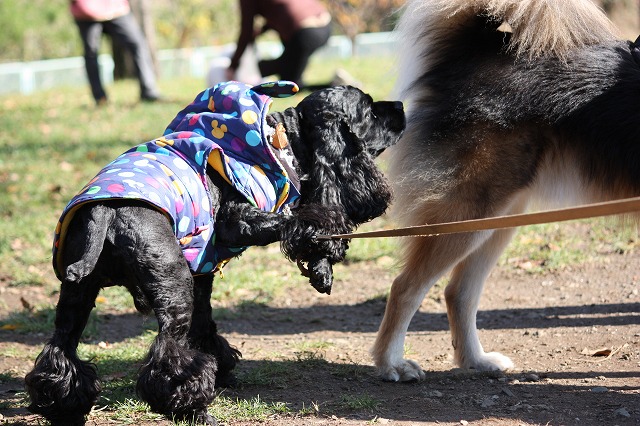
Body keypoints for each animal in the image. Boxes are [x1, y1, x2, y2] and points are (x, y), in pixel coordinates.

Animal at [26, 80, 404, 426]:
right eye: (370, 111)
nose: (400, 105)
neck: (283, 143)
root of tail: (105, 211)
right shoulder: (236, 222)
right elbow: (298, 220)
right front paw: (326, 249)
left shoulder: (202, 270)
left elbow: (205, 320)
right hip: (171, 283)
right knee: (168, 352)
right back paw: (192, 408)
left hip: (78, 291)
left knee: (61, 347)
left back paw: (65, 407)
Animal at [370, 0, 640, 382]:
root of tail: (472, 54)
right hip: (470, 211)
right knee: (405, 287)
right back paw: (392, 363)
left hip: (500, 216)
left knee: (458, 292)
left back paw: (476, 360)